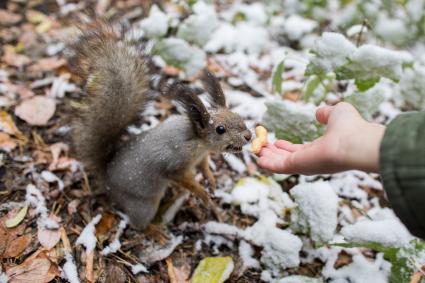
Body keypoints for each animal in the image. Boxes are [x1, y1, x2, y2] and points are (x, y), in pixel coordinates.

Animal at [67, 23, 250, 232]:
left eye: (237, 116)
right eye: (220, 129)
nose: (248, 136)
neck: (198, 142)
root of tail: (107, 177)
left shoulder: (201, 157)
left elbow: (204, 167)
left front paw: (210, 180)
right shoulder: (176, 164)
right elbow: (185, 180)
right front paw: (202, 194)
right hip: (144, 205)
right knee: (138, 224)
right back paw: (155, 232)